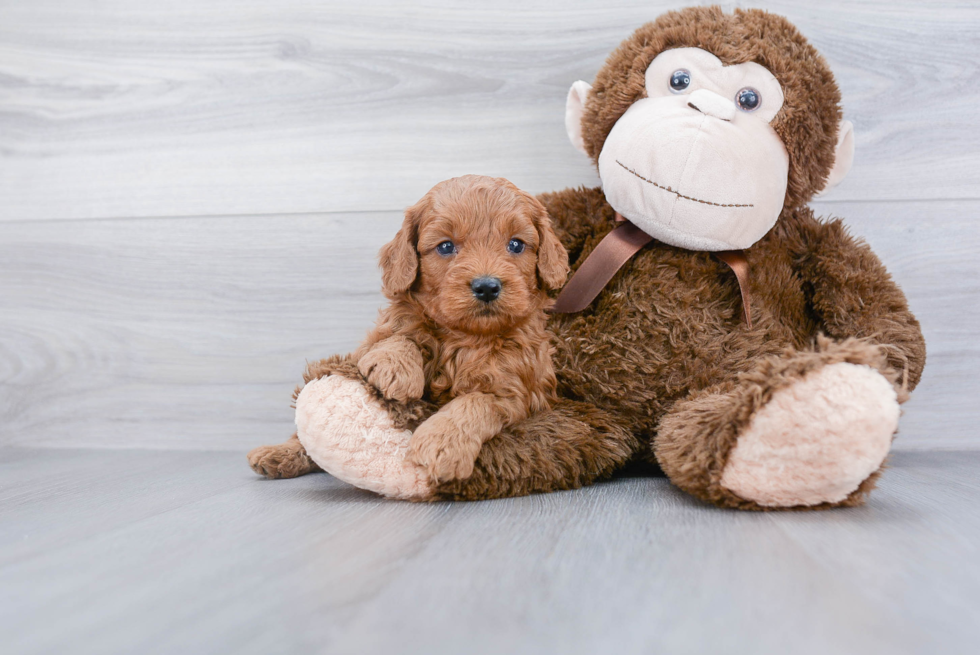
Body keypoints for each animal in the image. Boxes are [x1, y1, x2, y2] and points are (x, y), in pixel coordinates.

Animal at [354, 174, 572, 482]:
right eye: (446, 247)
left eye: (516, 245)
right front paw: (393, 364)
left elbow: (475, 403)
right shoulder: (380, 335)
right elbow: (401, 332)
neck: (466, 337)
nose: (487, 286)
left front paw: (441, 442)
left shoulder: (517, 392)